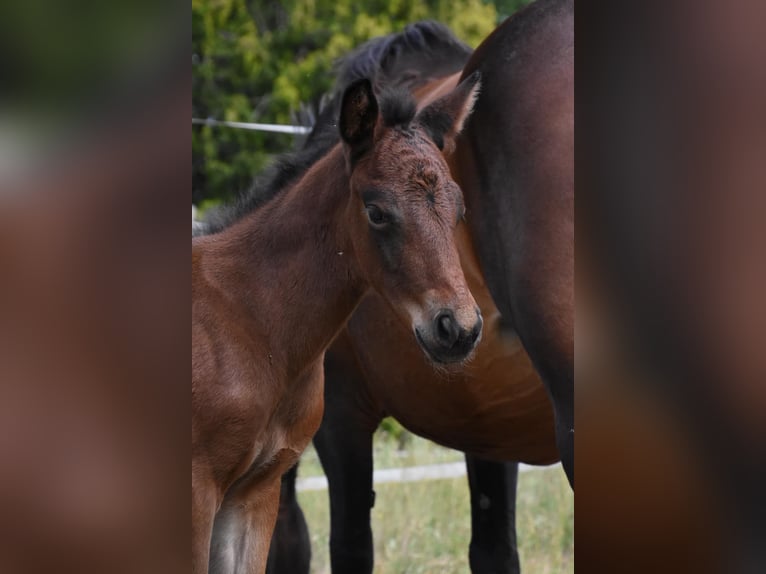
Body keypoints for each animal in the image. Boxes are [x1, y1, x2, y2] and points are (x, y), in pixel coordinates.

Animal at [190, 70, 486, 572]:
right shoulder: (196, 489)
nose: (458, 329)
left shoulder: (255, 492)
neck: (254, 323)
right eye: (377, 211)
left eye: (459, 209)